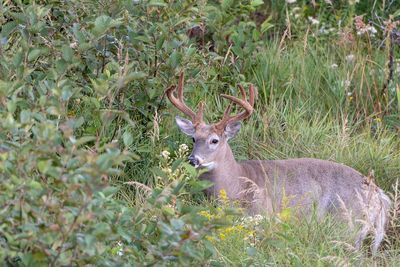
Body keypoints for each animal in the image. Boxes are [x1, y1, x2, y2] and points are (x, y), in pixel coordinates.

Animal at [165, 72, 390, 252]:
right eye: (193, 139)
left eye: (214, 140)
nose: (193, 159)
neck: (237, 184)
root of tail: (379, 195)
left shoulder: (263, 215)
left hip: (347, 222)